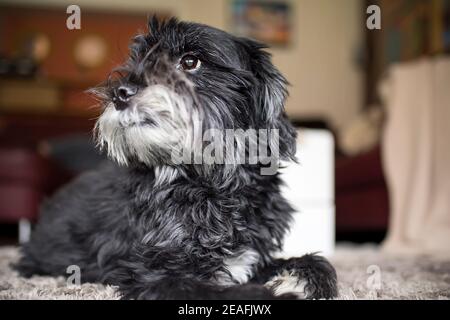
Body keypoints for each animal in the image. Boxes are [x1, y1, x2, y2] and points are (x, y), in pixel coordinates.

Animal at [14, 17, 338, 298]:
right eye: (139, 59)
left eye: (190, 61)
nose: (119, 93)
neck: (212, 187)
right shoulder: (155, 274)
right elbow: (226, 292)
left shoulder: (252, 257)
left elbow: (318, 262)